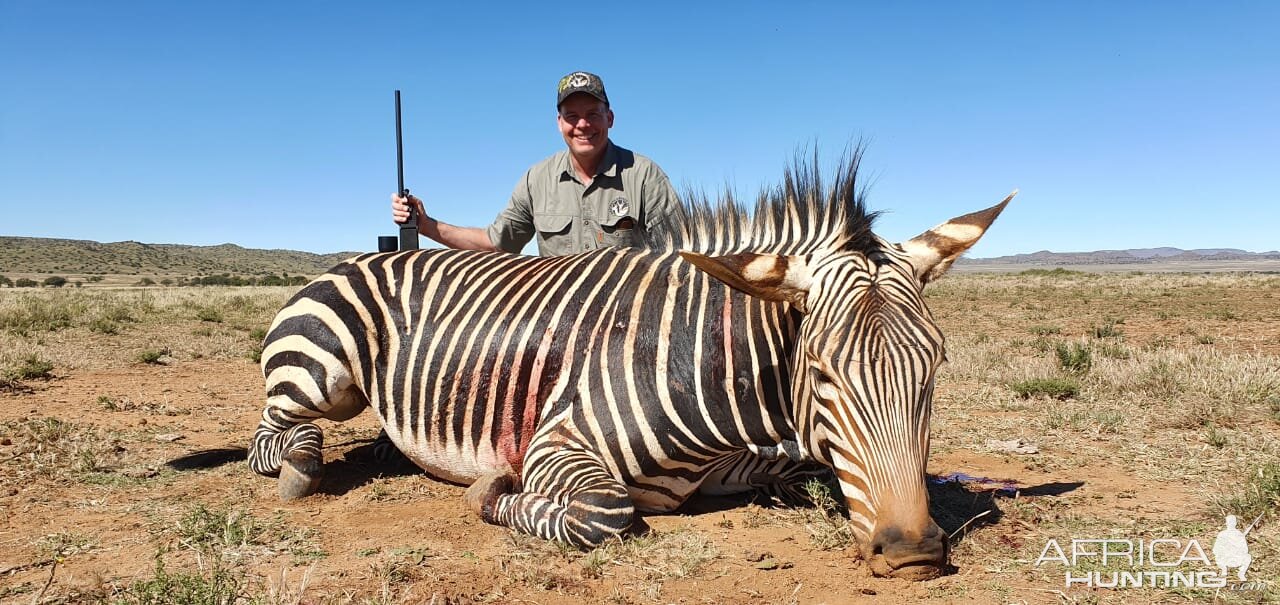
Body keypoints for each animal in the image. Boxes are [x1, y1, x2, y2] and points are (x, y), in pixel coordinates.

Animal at [247, 152, 1008, 580]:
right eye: (820, 371)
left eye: (936, 365)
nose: (912, 556)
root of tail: (360, 256)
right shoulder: (556, 443)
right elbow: (602, 514)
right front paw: (488, 492)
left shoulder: (754, 459)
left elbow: (812, 472)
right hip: (322, 375)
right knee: (273, 434)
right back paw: (301, 465)